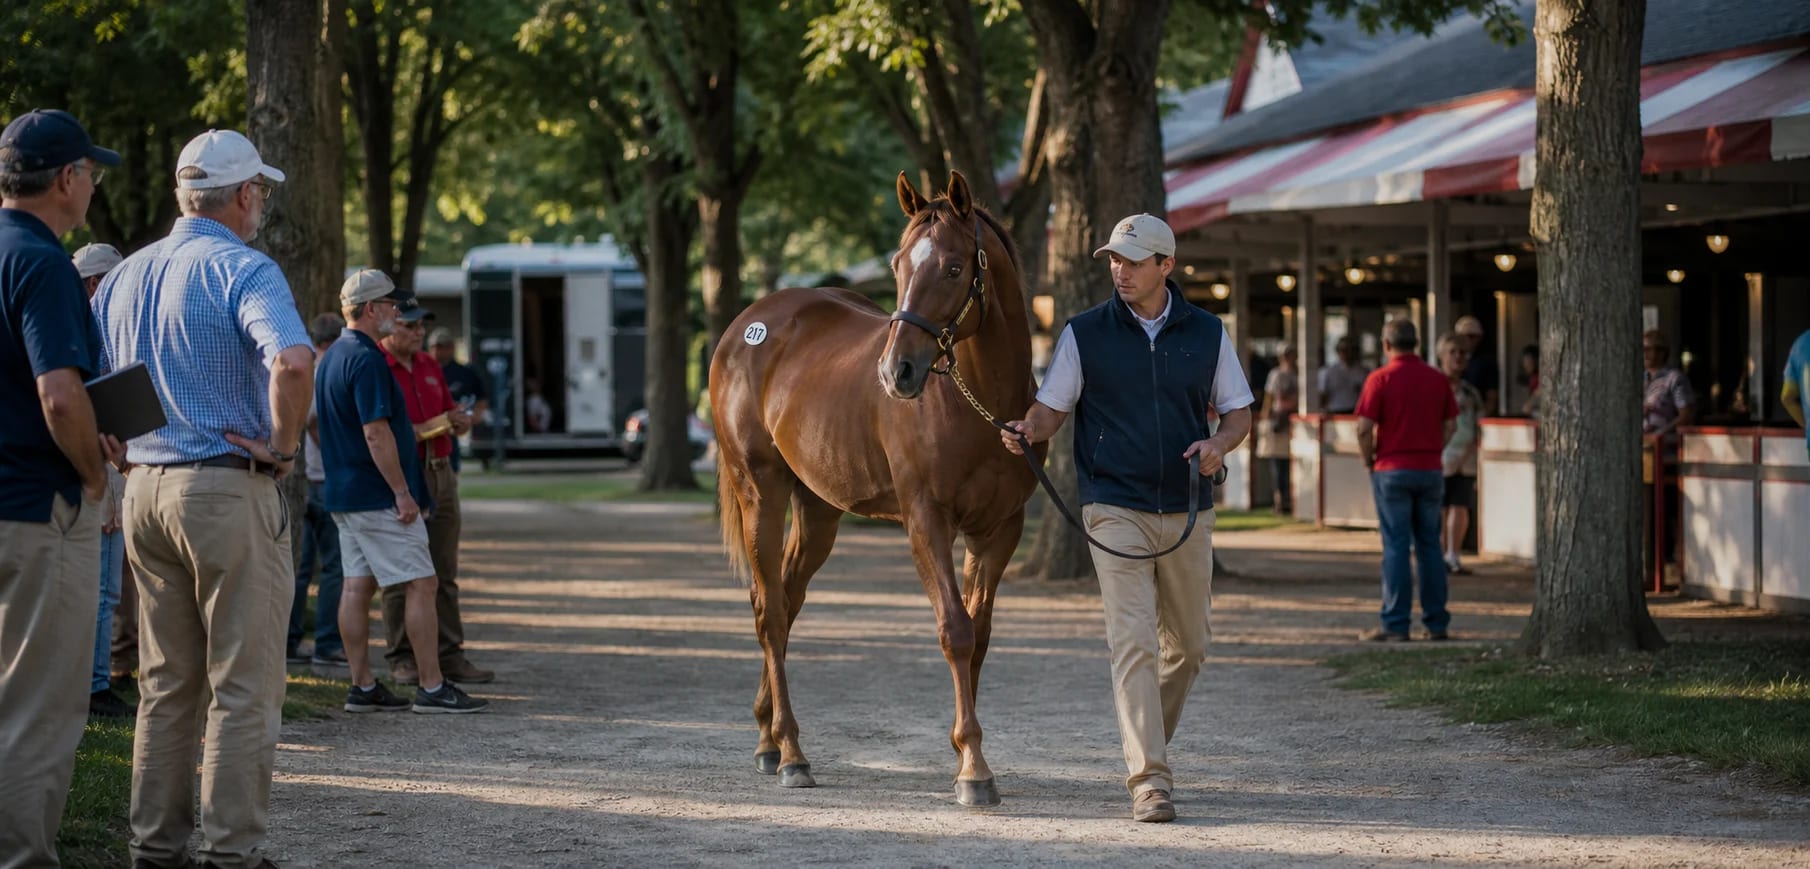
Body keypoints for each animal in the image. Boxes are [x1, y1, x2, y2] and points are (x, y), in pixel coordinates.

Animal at [708, 170, 1042, 807]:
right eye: (898, 264)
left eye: (955, 268)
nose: (897, 373)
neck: (976, 403)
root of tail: (745, 327)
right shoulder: (926, 522)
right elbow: (955, 631)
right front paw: (973, 770)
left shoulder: (998, 533)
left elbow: (980, 634)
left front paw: (966, 754)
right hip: (761, 492)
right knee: (769, 612)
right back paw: (792, 752)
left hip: (818, 512)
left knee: (787, 602)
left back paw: (768, 738)